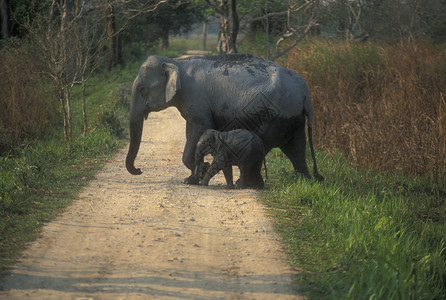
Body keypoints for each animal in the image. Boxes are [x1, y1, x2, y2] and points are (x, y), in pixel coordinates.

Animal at [125, 54, 324, 183]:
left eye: (142, 89)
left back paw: (243, 183)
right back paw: (306, 182)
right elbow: (192, 131)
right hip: (293, 119)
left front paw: (196, 175)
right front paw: (193, 177)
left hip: (276, 116)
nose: (140, 170)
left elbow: (198, 128)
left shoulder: (196, 99)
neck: (175, 62)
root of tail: (305, 93)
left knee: (266, 144)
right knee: (295, 149)